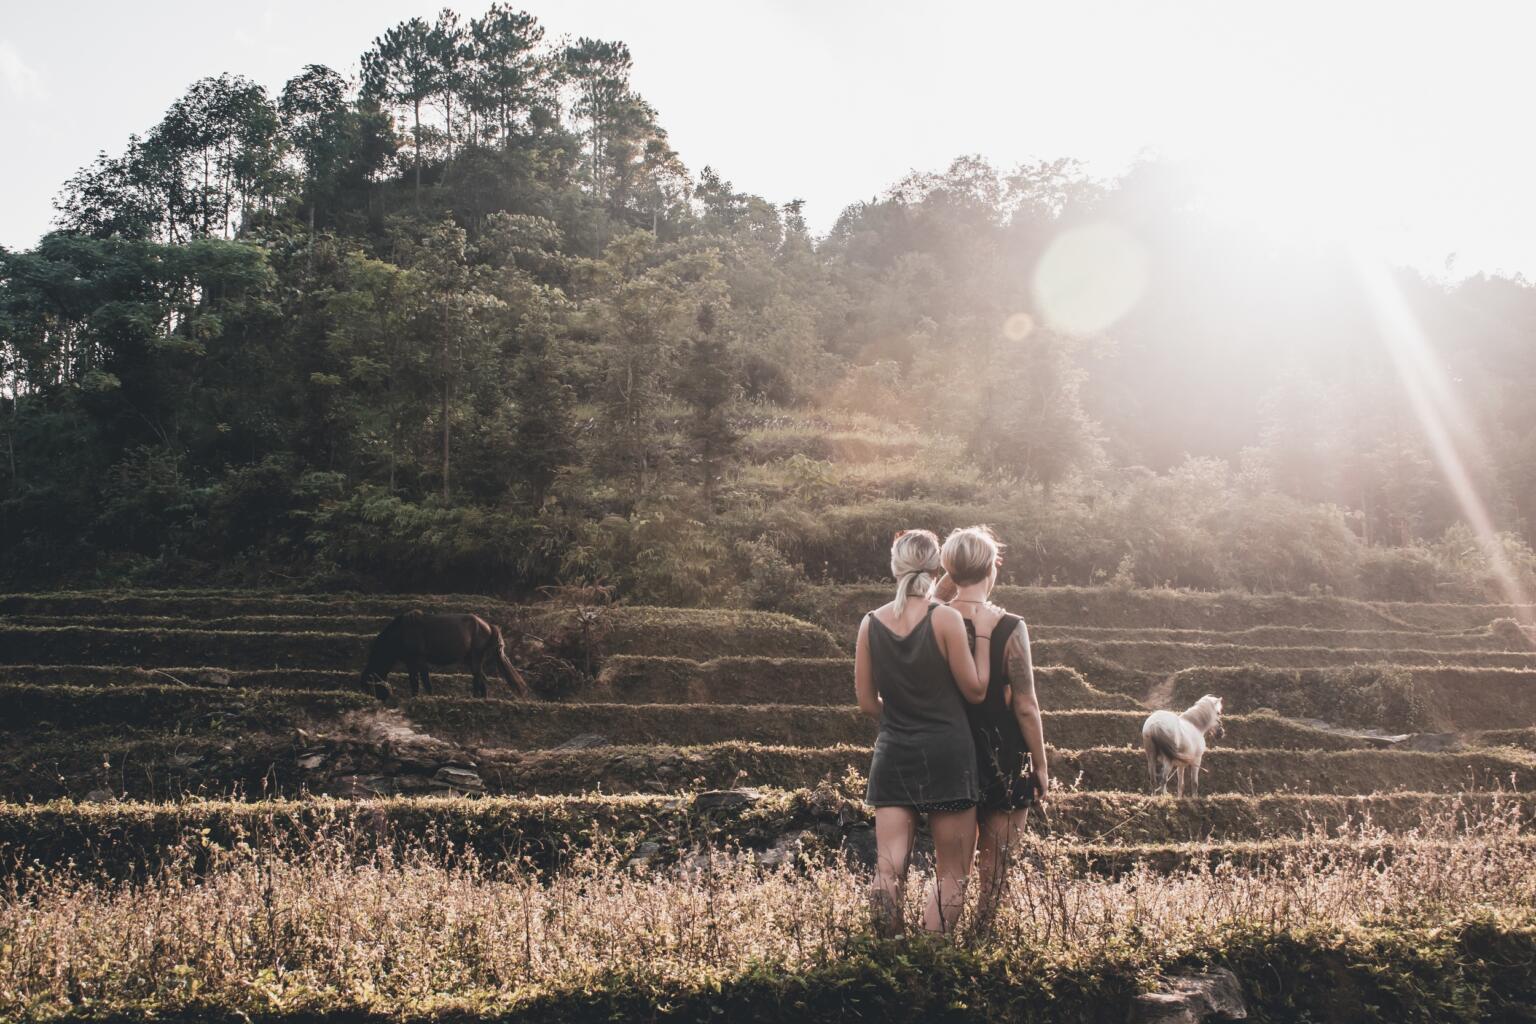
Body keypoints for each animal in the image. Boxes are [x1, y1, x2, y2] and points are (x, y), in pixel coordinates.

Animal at [359, 614, 528, 700]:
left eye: (369, 686)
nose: (381, 698)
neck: (401, 632)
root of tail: (489, 626)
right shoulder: (411, 661)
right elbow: (416, 679)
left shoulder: (419, 659)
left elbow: (422, 679)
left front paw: (424, 697)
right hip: (470, 658)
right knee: (482, 677)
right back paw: (482, 698)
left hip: (475, 656)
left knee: (478, 677)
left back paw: (475, 698)